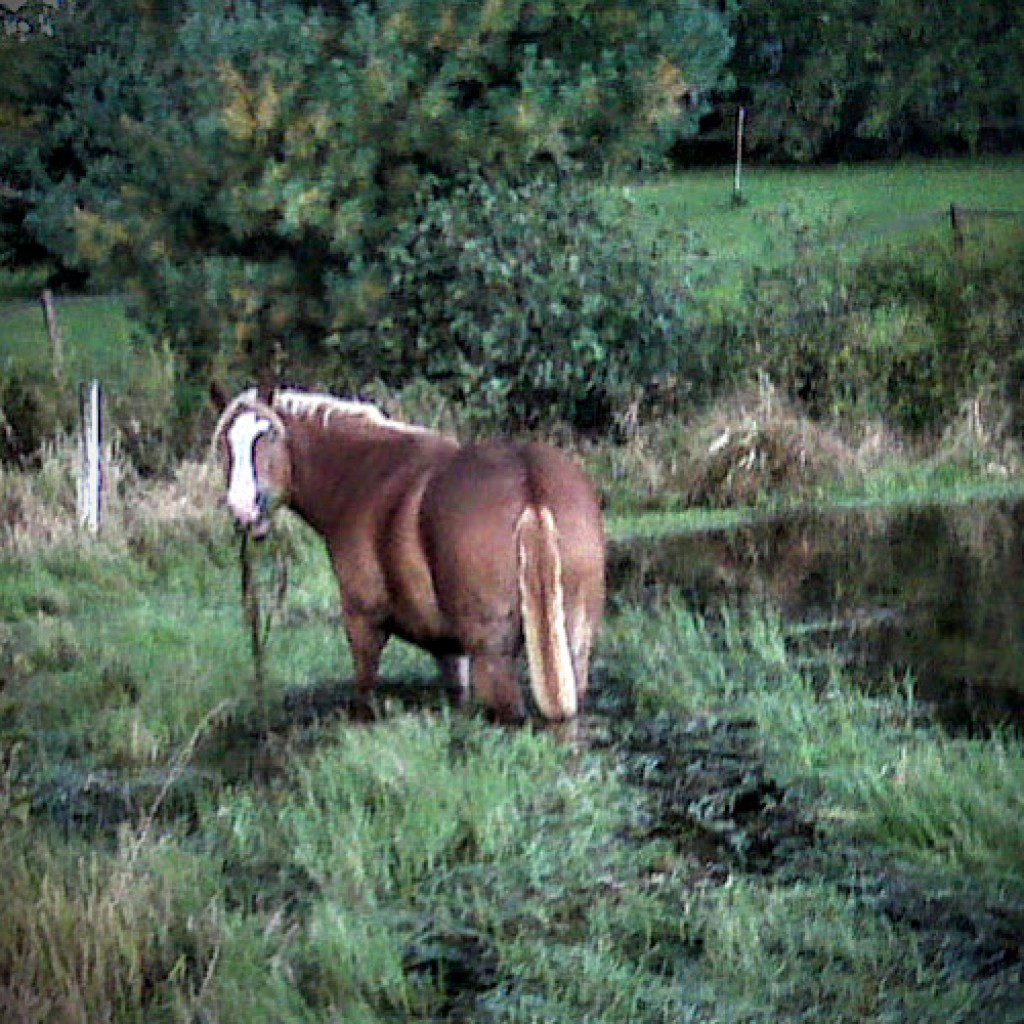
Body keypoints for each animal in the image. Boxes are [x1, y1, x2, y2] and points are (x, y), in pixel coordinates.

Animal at [210, 382, 602, 720]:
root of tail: (529, 487)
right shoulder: (448, 649)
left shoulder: (363, 622)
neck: (361, 476)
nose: (242, 508)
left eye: (267, 434)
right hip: (572, 646)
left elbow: (365, 695)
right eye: (225, 444)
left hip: (492, 655)